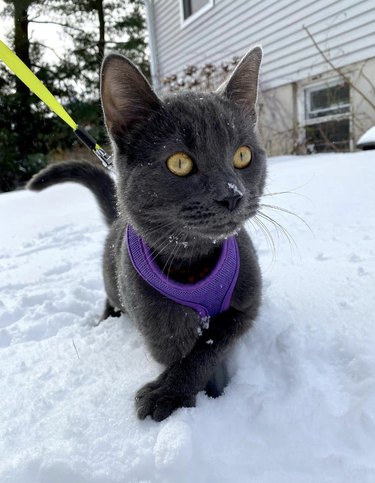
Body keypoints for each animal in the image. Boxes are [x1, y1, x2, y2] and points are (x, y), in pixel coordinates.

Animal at [27, 47, 268, 422]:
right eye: (179, 163)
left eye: (243, 156)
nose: (232, 195)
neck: (192, 264)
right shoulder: (159, 325)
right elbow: (181, 352)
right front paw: (180, 393)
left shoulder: (245, 306)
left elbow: (212, 344)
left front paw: (179, 392)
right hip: (115, 284)